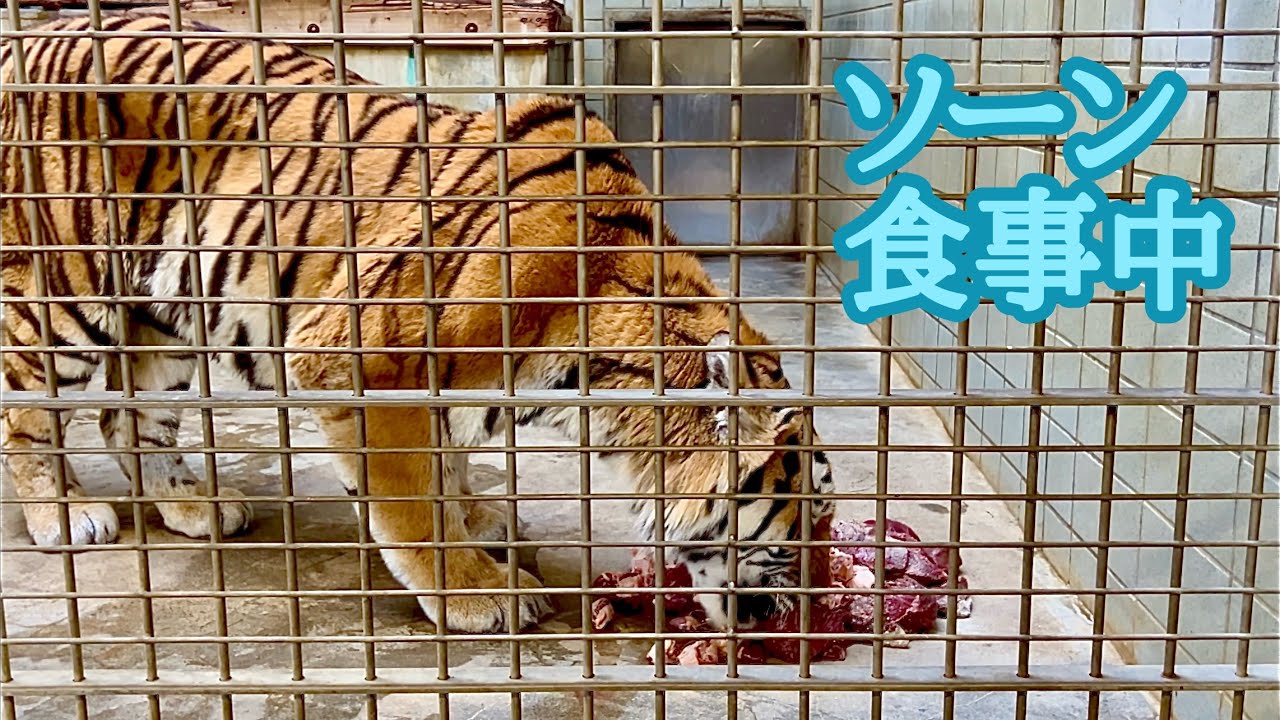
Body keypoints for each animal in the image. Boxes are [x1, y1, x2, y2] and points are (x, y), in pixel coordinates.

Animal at [0, 13, 835, 633]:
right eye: (805, 521)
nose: (797, 611)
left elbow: (452, 463)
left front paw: (481, 520)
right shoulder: (362, 362)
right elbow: (413, 501)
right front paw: (480, 593)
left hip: (167, 317)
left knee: (127, 418)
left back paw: (194, 506)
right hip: (59, 300)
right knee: (29, 416)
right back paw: (66, 518)